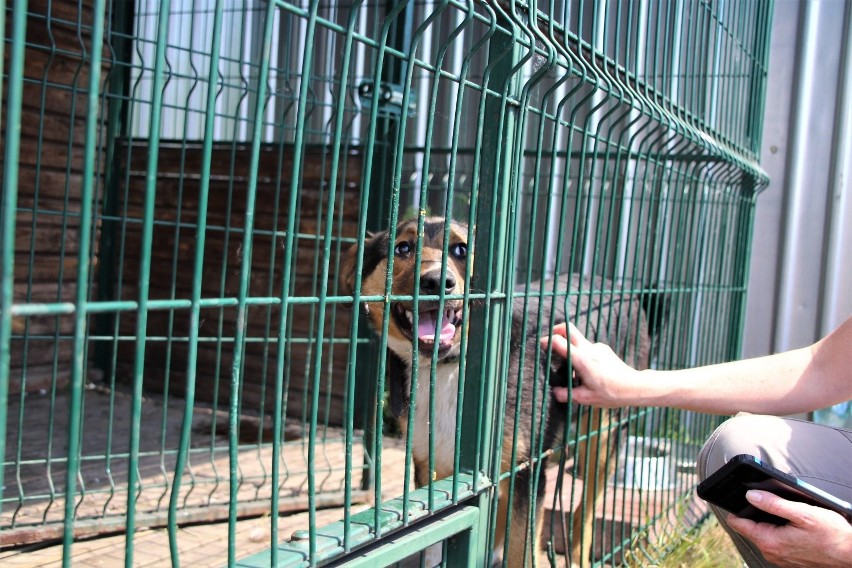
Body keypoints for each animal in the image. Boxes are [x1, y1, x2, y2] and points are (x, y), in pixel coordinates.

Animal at [342, 216, 660, 564]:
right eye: (402, 248)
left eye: (461, 250)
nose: (437, 282)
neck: (450, 367)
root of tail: (620, 289)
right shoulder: (433, 467)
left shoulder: (526, 473)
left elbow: (522, 550)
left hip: (604, 438)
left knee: (585, 511)